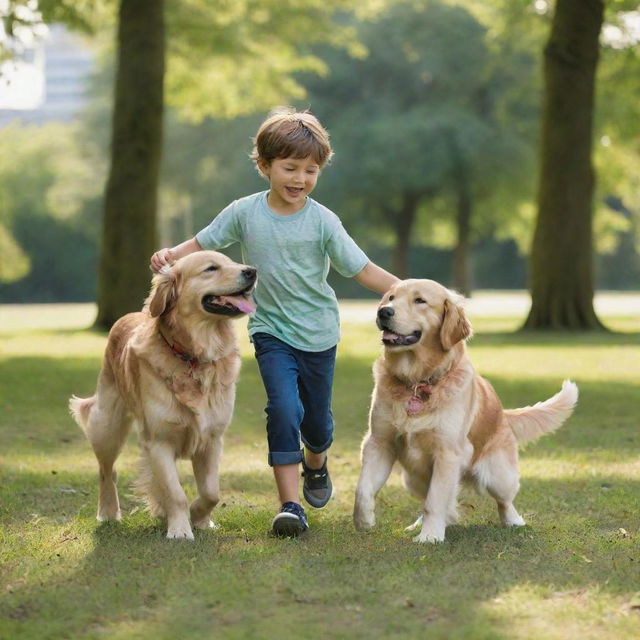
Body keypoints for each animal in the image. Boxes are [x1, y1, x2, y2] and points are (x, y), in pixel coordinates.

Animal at [70, 252, 258, 536]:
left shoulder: (212, 439)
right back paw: (108, 512)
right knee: (107, 471)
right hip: (108, 426)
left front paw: (200, 519)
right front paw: (180, 529)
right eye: (211, 268)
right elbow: (175, 492)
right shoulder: (160, 441)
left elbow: (211, 492)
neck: (192, 356)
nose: (252, 271)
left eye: (233, 261)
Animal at [352, 278, 576, 544]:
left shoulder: (447, 452)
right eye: (390, 298)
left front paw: (430, 537)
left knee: (505, 501)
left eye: (420, 300)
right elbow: (362, 488)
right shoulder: (379, 442)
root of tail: (502, 412)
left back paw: (513, 521)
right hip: (412, 479)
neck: (417, 380)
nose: (383, 312)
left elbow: (435, 501)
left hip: (499, 475)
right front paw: (364, 520)